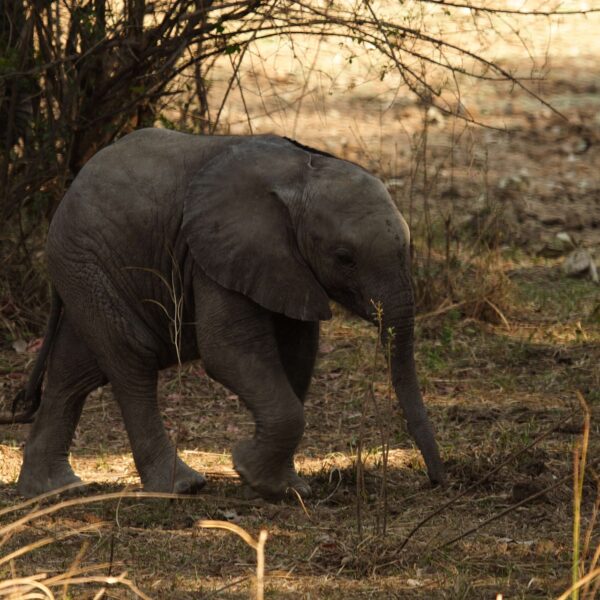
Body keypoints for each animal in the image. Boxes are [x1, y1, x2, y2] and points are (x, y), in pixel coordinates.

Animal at [3, 129, 446, 500]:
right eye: (344, 258)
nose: (437, 480)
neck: (301, 175)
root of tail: (67, 195)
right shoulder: (216, 252)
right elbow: (229, 350)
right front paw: (253, 473)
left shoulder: (284, 264)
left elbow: (297, 352)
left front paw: (278, 486)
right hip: (88, 262)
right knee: (131, 357)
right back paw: (182, 487)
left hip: (86, 270)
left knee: (76, 370)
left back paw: (52, 490)